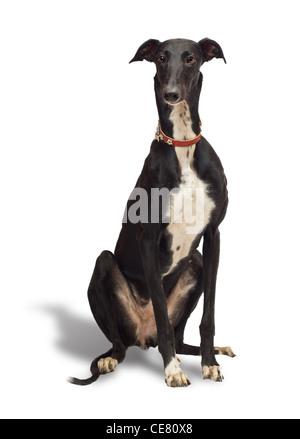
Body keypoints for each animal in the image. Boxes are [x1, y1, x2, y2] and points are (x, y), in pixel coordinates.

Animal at [69, 37, 236, 388]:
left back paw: (212, 350)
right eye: (160, 57)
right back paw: (110, 359)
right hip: (105, 265)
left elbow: (208, 316)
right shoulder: (148, 238)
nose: (171, 94)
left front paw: (210, 364)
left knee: (179, 336)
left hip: (197, 263)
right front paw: (172, 371)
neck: (183, 144)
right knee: (123, 343)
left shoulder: (214, 235)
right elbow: (160, 311)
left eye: (190, 58)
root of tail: (143, 337)